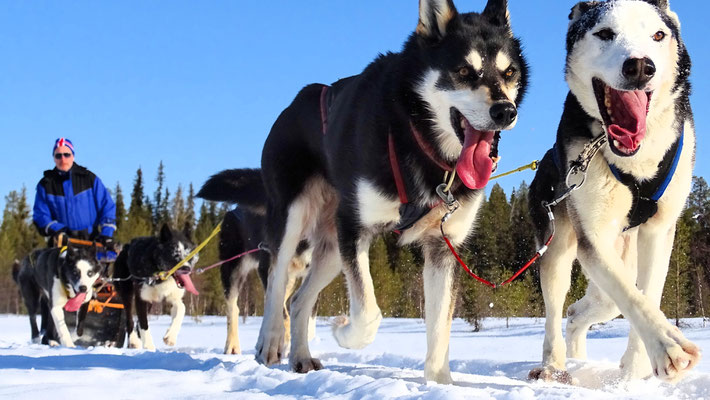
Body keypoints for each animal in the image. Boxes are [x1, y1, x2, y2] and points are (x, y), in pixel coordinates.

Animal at [256, 0, 528, 382]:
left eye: (509, 72)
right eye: (463, 70)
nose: (505, 110)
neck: (419, 141)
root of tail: (295, 103)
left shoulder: (443, 247)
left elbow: (439, 327)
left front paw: (439, 383)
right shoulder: (356, 228)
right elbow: (368, 313)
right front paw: (343, 330)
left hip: (332, 248)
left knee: (298, 301)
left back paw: (301, 356)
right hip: (295, 219)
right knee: (278, 281)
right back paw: (270, 341)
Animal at [528, 0, 700, 382]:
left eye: (658, 35)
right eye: (605, 33)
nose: (640, 66)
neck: (635, 160)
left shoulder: (659, 231)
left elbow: (647, 295)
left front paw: (636, 368)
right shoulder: (592, 237)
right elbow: (631, 296)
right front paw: (669, 347)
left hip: (619, 263)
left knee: (580, 312)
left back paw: (582, 360)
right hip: (559, 249)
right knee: (558, 310)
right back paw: (554, 365)